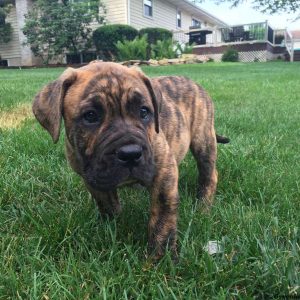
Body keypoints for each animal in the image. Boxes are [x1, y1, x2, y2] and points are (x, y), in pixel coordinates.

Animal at [32, 61, 229, 260]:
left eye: (144, 112)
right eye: (90, 116)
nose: (130, 154)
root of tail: (193, 82)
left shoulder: (164, 170)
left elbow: (162, 216)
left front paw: (161, 257)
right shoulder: (92, 177)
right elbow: (106, 203)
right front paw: (111, 228)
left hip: (203, 140)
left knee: (209, 174)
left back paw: (203, 207)